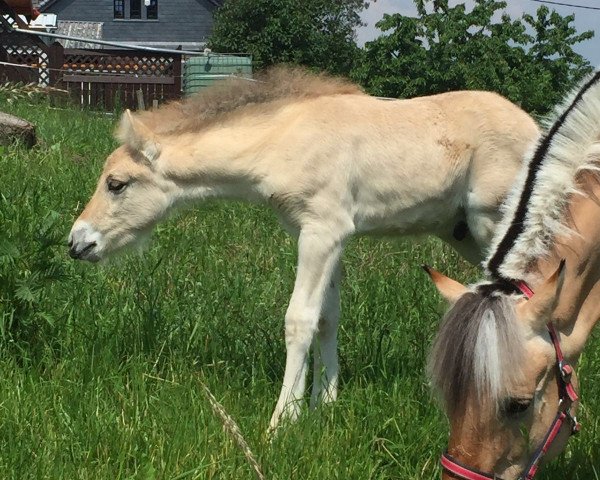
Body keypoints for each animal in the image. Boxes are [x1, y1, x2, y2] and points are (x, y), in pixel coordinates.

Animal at [69, 65, 540, 430]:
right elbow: (327, 318)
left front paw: (282, 422)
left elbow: (299, 319)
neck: (283, 139)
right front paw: (322, 407)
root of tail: (536, 129)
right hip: (463, 234)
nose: (77, 242)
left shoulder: (321, 231)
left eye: (116, 184)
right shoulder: (324, 236)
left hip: (493, 227)